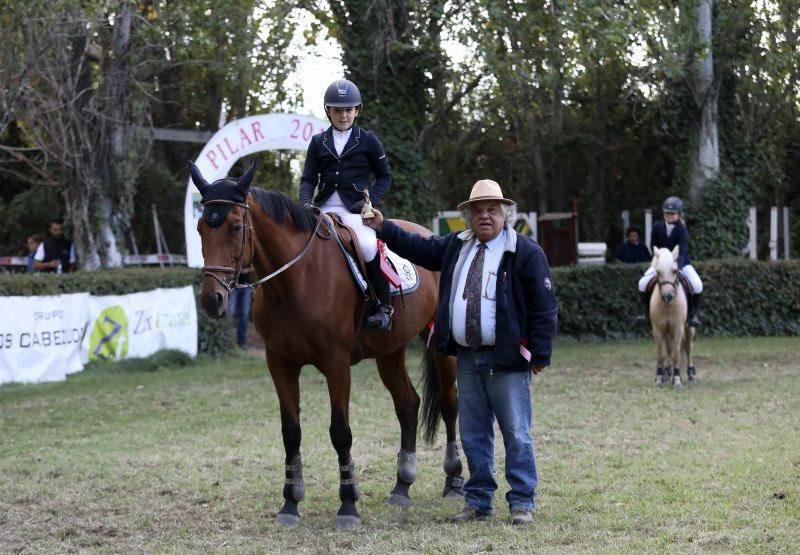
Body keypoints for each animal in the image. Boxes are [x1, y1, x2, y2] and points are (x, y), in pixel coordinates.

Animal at [189, 162, 462, 528]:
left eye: (235, 226)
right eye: (201, 228)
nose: (211, 299)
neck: (296, 280)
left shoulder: (336, 362)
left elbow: (340, 431)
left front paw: (348, 505)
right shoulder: (279, 363)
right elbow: (291, 431)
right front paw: (290, 504)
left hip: (440, 346)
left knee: (449, 403)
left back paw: (454, 480)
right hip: (389, 351)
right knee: (407, 404)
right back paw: (402, 487)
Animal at [648, 245, 692, 388]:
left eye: (675, 271)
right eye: (658, 272)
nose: (668, 296)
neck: (668, 305)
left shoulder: (678, 329)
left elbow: (676, 354)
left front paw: (677, 381)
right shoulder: (658, 330)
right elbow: (661, 355)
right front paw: (659, 379)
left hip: (689, 328)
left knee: (688, 347)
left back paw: (691, 374)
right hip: (667, 332)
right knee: (668, 349)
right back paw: (668, 374)